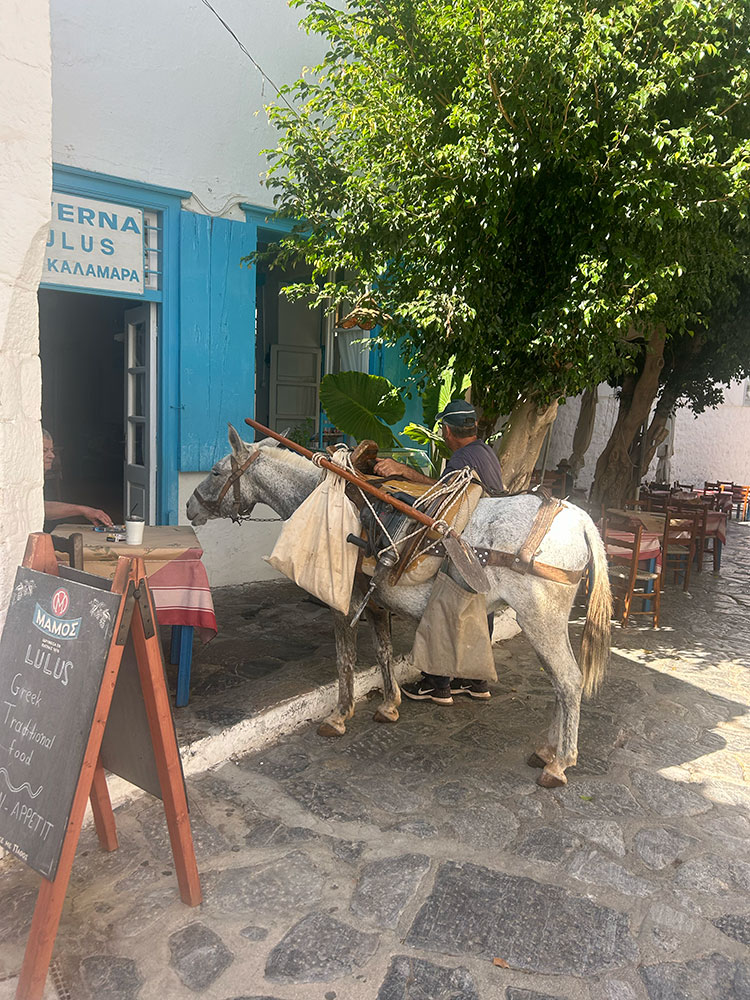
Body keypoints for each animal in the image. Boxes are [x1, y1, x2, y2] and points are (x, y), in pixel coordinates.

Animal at [186, 425, 612, 787]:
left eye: (214, 471)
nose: (190, 508)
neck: (327, 498)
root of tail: (580, 521)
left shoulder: (345, 603)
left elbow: (345, 661)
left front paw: (339, 716)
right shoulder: (376, 603)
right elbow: (384, 652)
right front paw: (390, 706)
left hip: (540, 619)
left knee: (568, 681)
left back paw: (560, 763)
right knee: (559, 682)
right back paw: (548, 751)